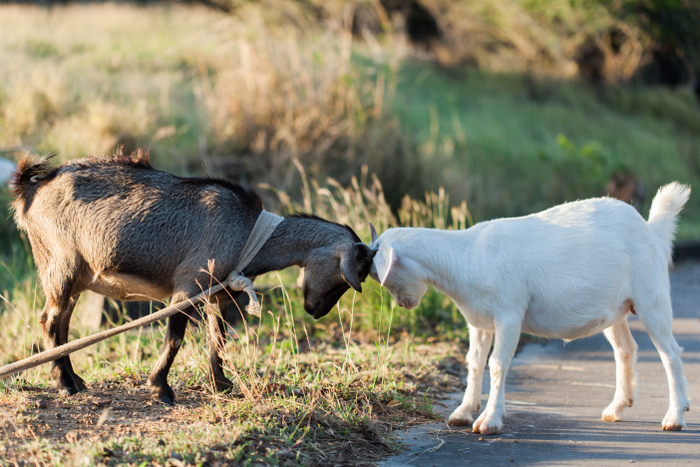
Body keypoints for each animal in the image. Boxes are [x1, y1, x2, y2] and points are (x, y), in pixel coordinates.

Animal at [10, 153, 374, 406]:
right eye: (347, 277)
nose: (316, 311)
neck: (249, 231)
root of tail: (31, 189)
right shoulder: (188, 287)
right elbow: (175, 338)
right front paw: (160, 388)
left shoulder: (218, 294)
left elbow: (219, 338)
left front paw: (220, 383)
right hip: (61, 265)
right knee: (50, 321)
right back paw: (66, 384)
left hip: (75, 277)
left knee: (62, 325)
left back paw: (74, 379)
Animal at [370, 183, 692, 436]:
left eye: (381, 274)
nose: (404, 304)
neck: (466, 257)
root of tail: (651, 229)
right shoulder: (479, 322)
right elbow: (475, 362)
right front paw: (463, 412)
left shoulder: (509, 314)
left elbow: (498, 364)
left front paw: (489, 421)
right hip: (616, 310)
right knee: (626, 349)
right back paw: (616, 408)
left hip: (651, 295)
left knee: (670, 353)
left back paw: (675, 417)